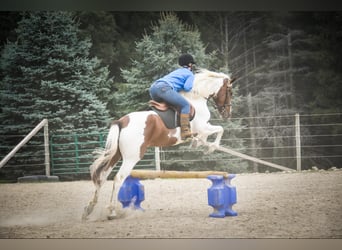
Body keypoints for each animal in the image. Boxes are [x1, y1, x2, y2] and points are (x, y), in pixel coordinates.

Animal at [82, 69, 235, 221]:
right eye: (230, 92)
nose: (227, 114)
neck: (197, 98)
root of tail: (122, 121)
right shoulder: (202, 128)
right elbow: (220, 129)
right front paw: (210, 147)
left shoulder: (203, 128)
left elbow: (216, 131)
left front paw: (198, 144)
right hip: (132, 157)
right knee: (119, 178)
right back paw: (112, 211)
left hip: (116, 154)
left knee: (102, 176)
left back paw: (89, 209)